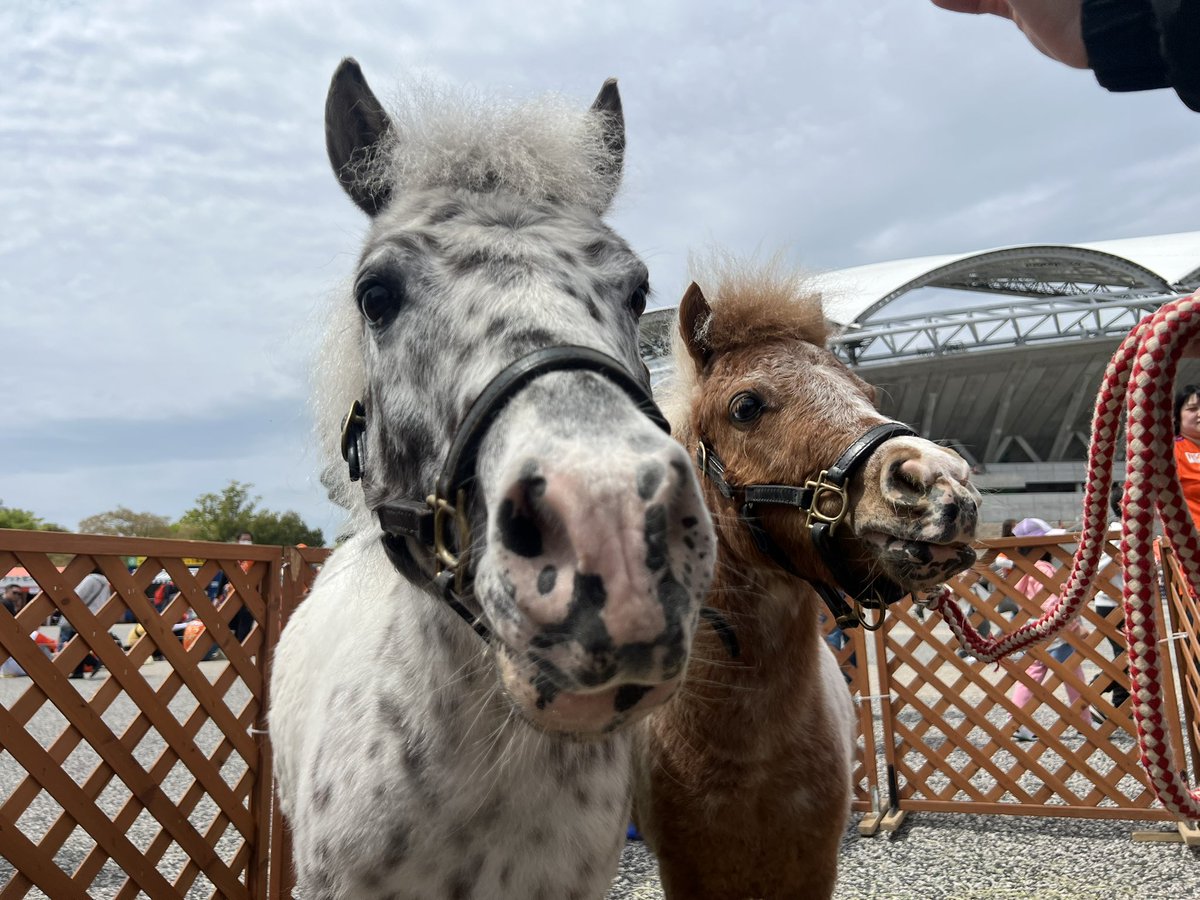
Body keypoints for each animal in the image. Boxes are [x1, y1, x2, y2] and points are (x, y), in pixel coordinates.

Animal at [632, 259, 981, 899]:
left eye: (867, 393)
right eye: (745, 406)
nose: (942, 480)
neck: (748, 755)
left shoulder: (811, 864)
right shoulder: (688, 871)